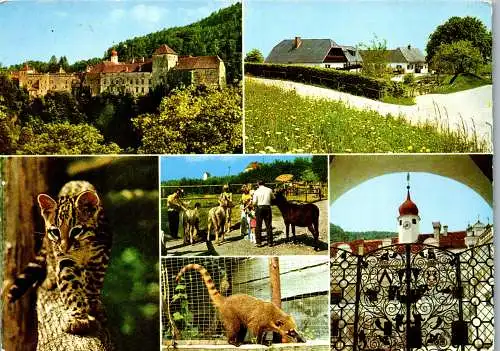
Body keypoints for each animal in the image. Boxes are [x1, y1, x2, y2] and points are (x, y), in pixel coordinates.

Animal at [7, 182, 110, 336]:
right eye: (56, 232)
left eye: (76, 230)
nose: (64, 247)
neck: (83, 248)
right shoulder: (65, 260)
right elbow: (71, 287)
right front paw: (77, 318)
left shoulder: (100, 257)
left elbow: (93, 284)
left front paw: (91, 304)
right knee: (50, 259)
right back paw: (50, 279)